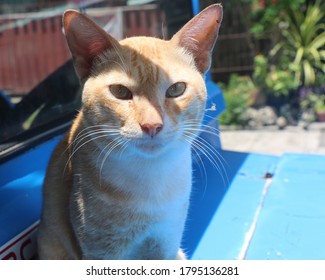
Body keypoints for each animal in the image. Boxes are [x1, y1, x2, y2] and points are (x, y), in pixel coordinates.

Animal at [36, 3, 221, 260]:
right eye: (120, 92)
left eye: (176, 89)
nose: (152, 126)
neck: (150, 178)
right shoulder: (99, 252)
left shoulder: (166, 244)